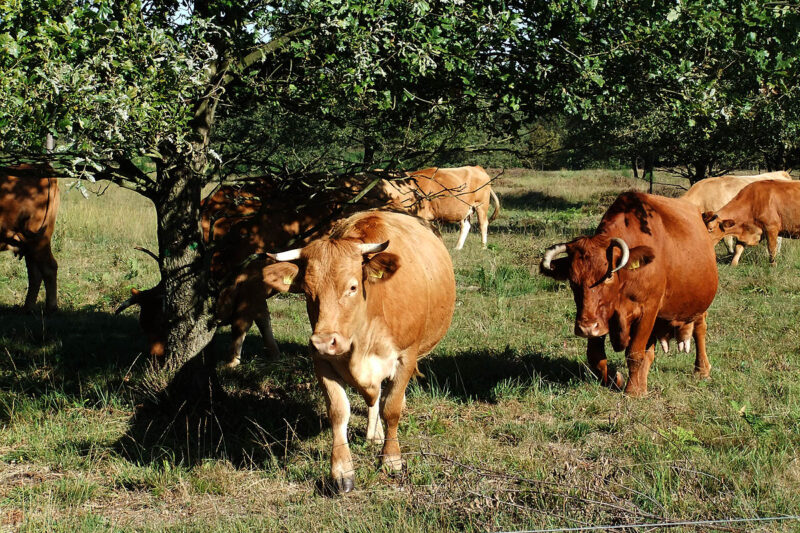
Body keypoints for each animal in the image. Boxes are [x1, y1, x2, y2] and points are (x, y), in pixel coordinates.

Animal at [0, 163, 59, 312]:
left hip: (38, 239)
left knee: (49, 268)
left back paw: (51, 307)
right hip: (30, 243)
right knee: (35, 273)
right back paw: (28, 308)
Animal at [258, 210, 454, 492]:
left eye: (352, 287)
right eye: (307, 291)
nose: (323, 342)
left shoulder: (406, 356)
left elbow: (391, 408)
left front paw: (391, 459)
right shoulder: (322, 363)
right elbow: (339, 412)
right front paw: (342, 471)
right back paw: (374, 433)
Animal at [536, 191, 720, 394]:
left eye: (609, 275)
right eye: (572, 279)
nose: (586, 328)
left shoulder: (648, 311)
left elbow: (635, 352)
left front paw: (633, 391)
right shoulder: (601, 318)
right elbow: (595, 355)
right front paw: (617, 380)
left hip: (700, 306)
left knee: (700, 329)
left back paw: (702, 369)